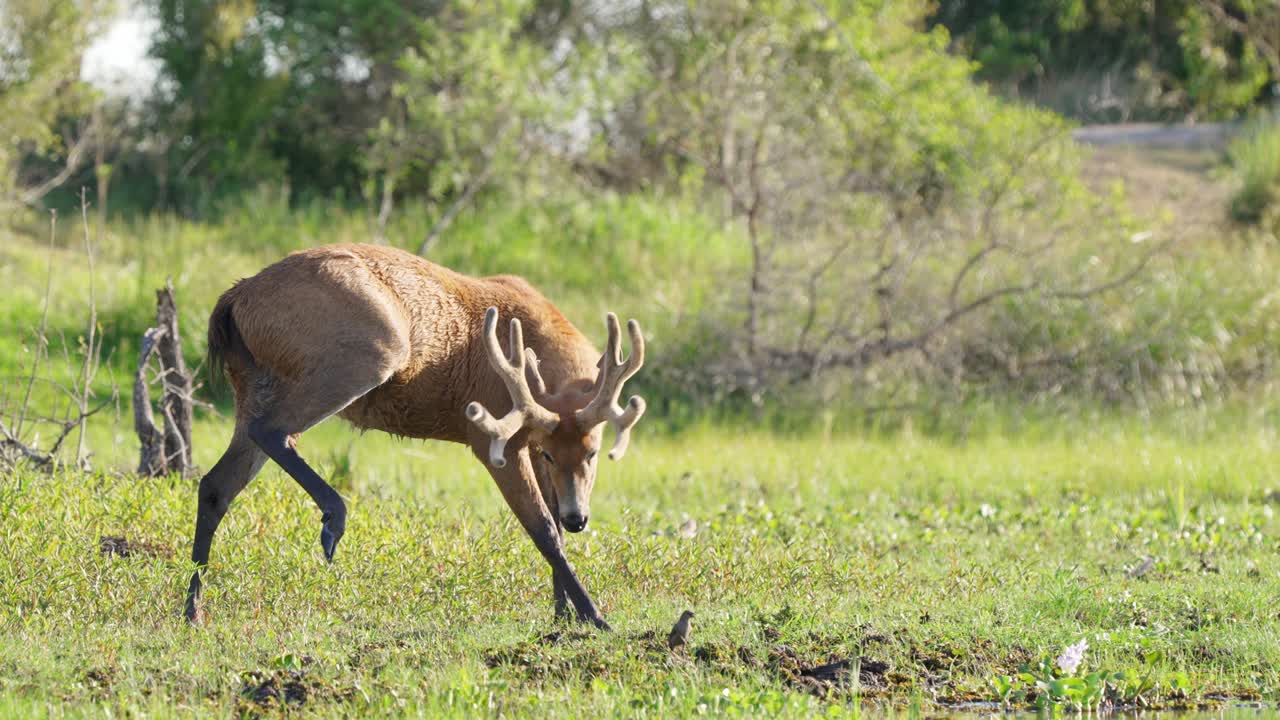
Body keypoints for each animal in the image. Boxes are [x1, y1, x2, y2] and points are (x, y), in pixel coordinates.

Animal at [183, 243, 645, 630]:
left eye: (593, 452)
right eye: (552, 455)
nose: (579, 517)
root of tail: (232, 302)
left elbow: (553, 527)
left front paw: (563, 614)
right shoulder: (491, 438)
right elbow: (543, 529)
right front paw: (593, 616)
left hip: (252, 382)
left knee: (216, 485)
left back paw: (193, 610)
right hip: (367, 350)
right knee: (272, 431)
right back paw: (333, 519)